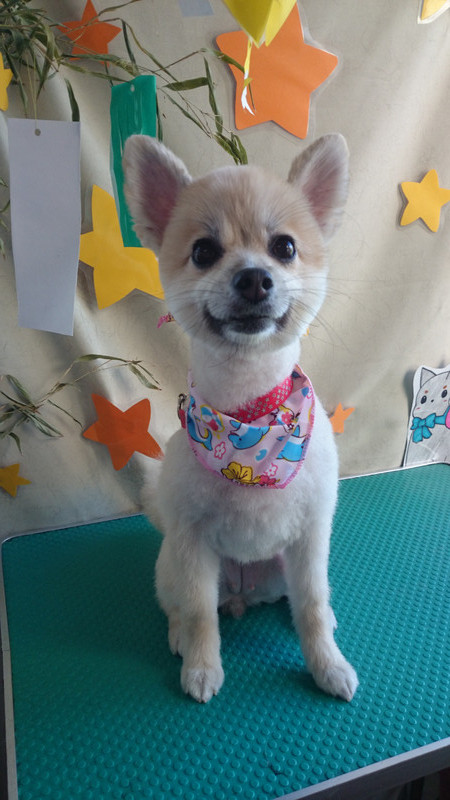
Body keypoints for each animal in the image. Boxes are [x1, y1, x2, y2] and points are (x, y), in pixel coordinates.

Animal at [123, 133, 358, 703]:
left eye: (285, 248)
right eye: (204, 252)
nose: (254, 278)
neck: (248, 420)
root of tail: (243, 594)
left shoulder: (311, 537)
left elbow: (311, 606)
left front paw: (328, 665)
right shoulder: (191, 543)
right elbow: (199, 613)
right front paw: (202, 668)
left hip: (280, 569)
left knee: (300, 599)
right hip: (171, 563)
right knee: (185, 605)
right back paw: (180, 636)